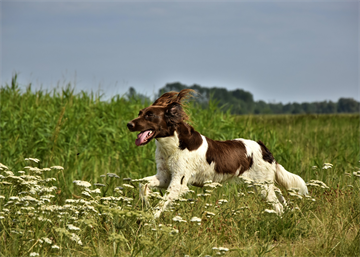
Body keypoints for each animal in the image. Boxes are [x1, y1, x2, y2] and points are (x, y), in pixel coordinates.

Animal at [126, 89, 306, 217]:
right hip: (262, 185)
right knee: (280, 198)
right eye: (140, 113)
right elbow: (143, 185)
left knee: (278, 206)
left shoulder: (178, 182)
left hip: (262, 186)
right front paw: (146, 203)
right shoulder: (164, 176)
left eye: (150, 115)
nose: (128, 124)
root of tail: (264, 148)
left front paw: (149, 221)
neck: (173, 144)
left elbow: (160, 206)